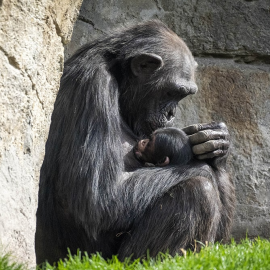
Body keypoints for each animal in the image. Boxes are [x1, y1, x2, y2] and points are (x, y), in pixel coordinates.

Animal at [35, 20, 234, 264]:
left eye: (183, 95)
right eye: (172, 92)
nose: (172, 113)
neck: (120, 83)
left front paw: (217, 141)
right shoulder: (92, 85)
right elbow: (98, 199)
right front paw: (204, 167)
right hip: (103, 259)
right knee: (198, 190)